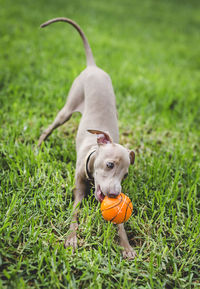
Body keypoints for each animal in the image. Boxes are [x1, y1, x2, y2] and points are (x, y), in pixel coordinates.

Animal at [38, 16, 137, 258]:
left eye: (126, 175)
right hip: (67, 108)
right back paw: (37, 145)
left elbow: (120, 222)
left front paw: (126, 245)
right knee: (51, 126)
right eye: (109, 164)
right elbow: (75, 211)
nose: (115, 194)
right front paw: (72, 238)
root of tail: (93, 67)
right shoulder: (78, 188)